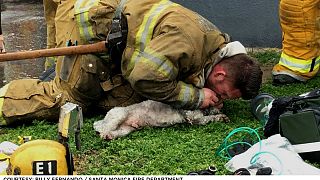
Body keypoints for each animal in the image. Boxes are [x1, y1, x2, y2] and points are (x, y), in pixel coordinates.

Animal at [93, 100, 230, 141]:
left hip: (125, 129)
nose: (220, 107)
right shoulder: (193, 117)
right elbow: (206, 118)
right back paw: (104, 134)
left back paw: (109, 136)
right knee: (103, 128)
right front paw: (220, 116)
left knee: (115, 132)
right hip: (118, 115)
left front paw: (222, 117)